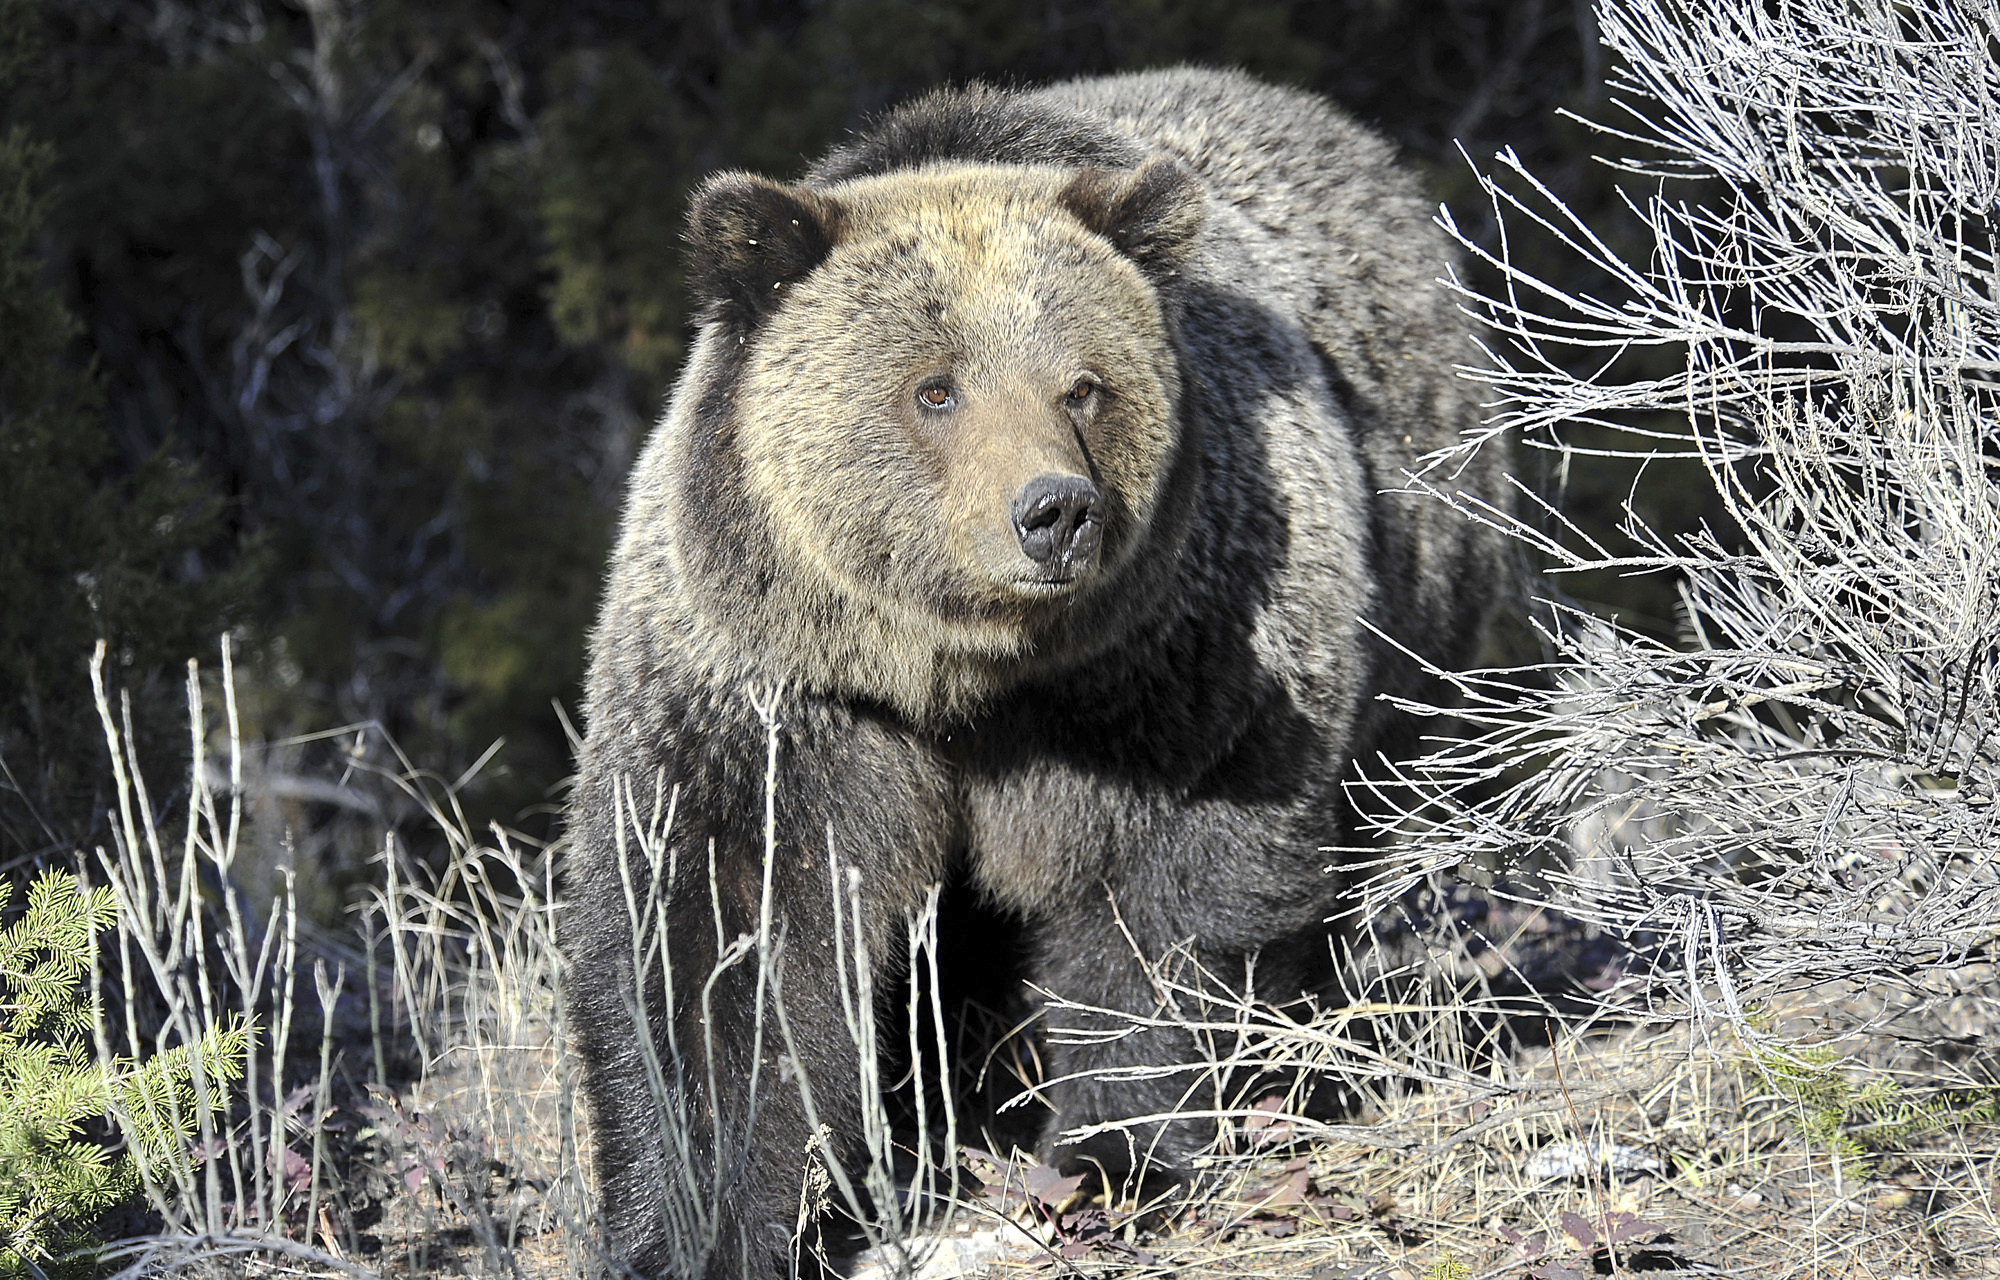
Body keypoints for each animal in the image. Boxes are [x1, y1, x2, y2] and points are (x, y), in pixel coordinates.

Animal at [564, 67, 1504, 1280]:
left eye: (1083, 385)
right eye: (935, 388)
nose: (1054, 511)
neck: (963, 676)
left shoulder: (1173, 668)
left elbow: (1163, 904)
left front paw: (1114, 1156)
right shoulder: (780, 694)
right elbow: (723, 940)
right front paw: (693, 1223)